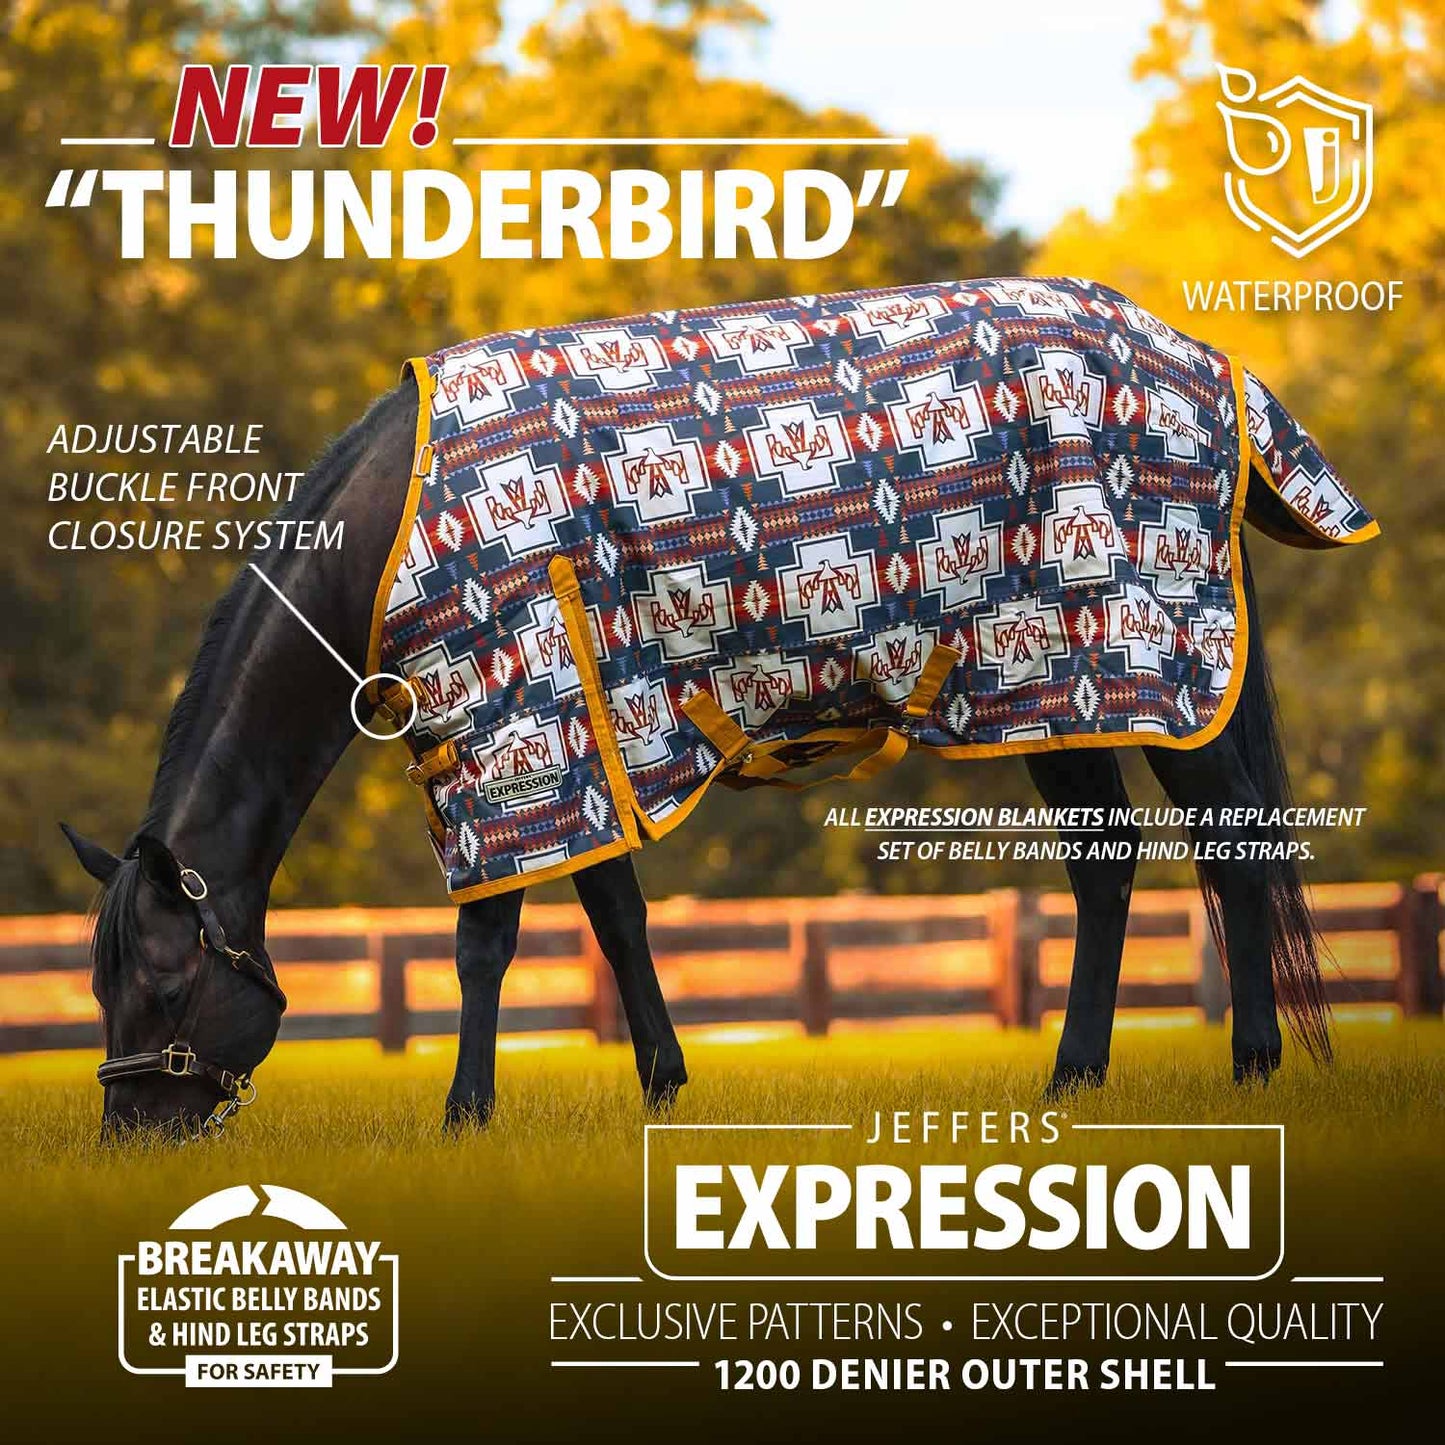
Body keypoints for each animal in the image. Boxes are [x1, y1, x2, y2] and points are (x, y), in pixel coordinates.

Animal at [61, 277, 1372, 1139]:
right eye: (99, 979)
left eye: (165, 983)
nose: (133, 1133)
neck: (408, 519)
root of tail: (1192, 357)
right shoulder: (586, 734)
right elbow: (617, 918)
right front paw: (660, 1081)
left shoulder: (514, 731)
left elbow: (487, 941)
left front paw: (464, 1111)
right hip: (1047, 685)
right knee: (1106, 864)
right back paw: (1071, 1078)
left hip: (1147, 662)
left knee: (1234, 849)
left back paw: (1253, 1065)